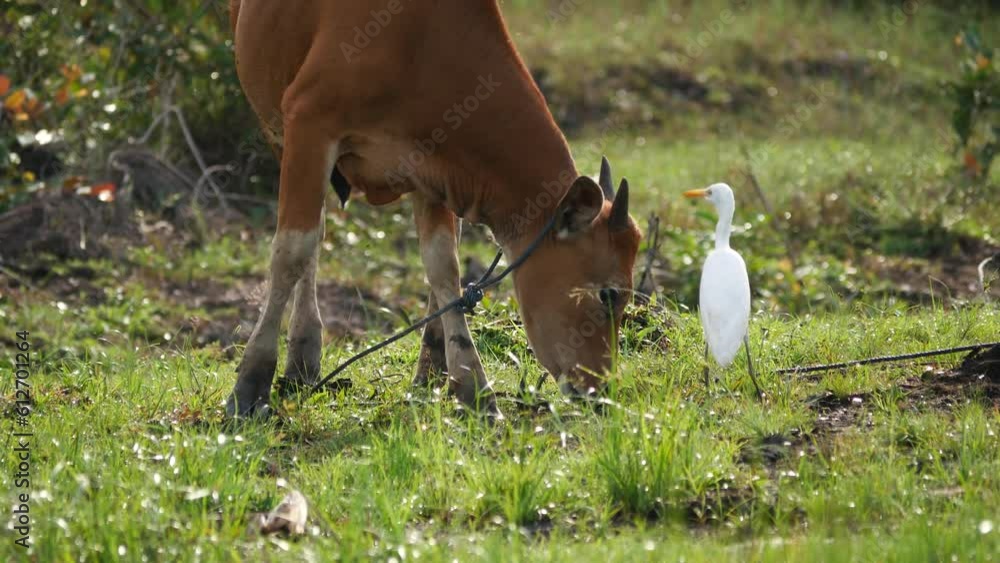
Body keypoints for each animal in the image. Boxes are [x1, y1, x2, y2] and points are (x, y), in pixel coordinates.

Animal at [226, 0, 642, 418]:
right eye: (608, 295)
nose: (602, 390)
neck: (419, 44)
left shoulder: (433, 167)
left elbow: (444, 265)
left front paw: (469, 384)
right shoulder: (308, 123)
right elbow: (292, 252)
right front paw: (250, 383)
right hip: (276, 126)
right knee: (310, 240)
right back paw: (301, 353)